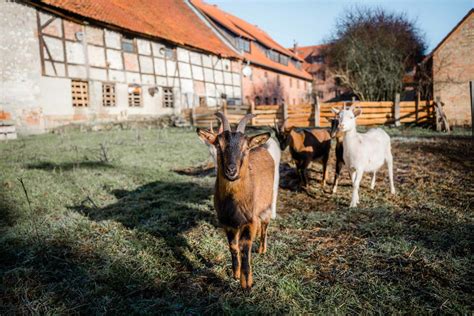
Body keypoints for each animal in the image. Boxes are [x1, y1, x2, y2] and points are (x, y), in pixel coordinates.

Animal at [196, 112, 274, 290]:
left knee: (265, 224)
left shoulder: (248, 221)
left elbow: (245, 247)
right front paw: (236, 273)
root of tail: (262, 148)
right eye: (218, 145)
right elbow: (233, 246)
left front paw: (247, 283)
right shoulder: (228, 222)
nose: (231, 170)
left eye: (245, 148)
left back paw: (262, 249)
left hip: (267, 203)